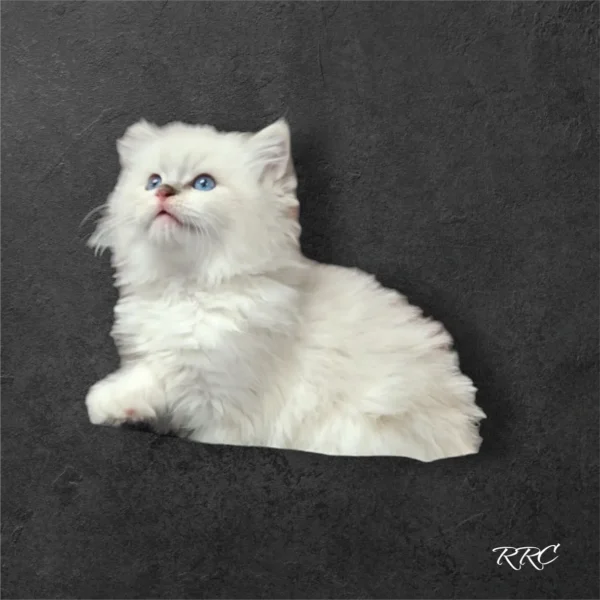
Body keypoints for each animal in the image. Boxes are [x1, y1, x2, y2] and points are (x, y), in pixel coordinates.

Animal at [86, 119, 486, 462]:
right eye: (153, 181)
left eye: (203, 184)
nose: (164, 192)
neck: (188, 286)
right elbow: (149, 377)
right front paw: (109, 404)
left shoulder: (226, 403)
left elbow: (176, 392)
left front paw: (106, 402)